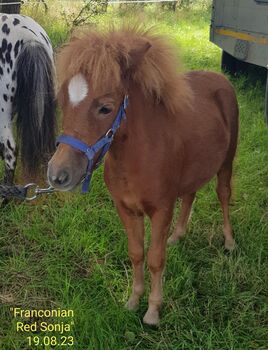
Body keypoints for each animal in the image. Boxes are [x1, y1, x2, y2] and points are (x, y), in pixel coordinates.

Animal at [47, 27, 239, 326]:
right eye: (62, 102)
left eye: (106, 107)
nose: (58, 175)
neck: (137, 158)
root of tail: (222, 79)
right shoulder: (126, 209)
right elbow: (136, 253)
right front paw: (133, 300)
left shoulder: (161, 210)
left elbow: (156, 259)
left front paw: (152, 311)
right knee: (190, 195)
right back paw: (178, 235)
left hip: (226, 162)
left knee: (223, 194)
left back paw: (229, 241)